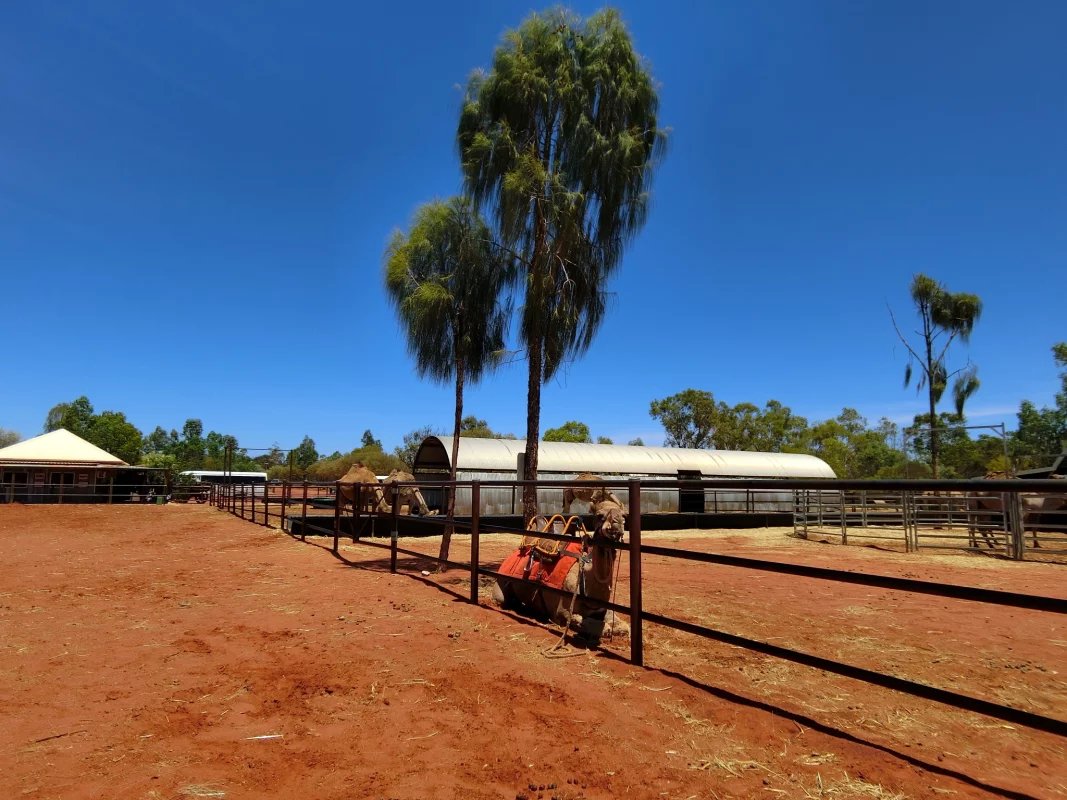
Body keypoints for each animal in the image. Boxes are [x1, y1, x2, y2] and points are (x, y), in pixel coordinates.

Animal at [488, 501, 627, 644]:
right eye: (599, 515)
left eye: (624, 515)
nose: (617, 523)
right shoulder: (561, 610)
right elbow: (592, 624)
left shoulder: (602, 609)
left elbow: (624, 627)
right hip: (501, 585)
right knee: (502, 599)